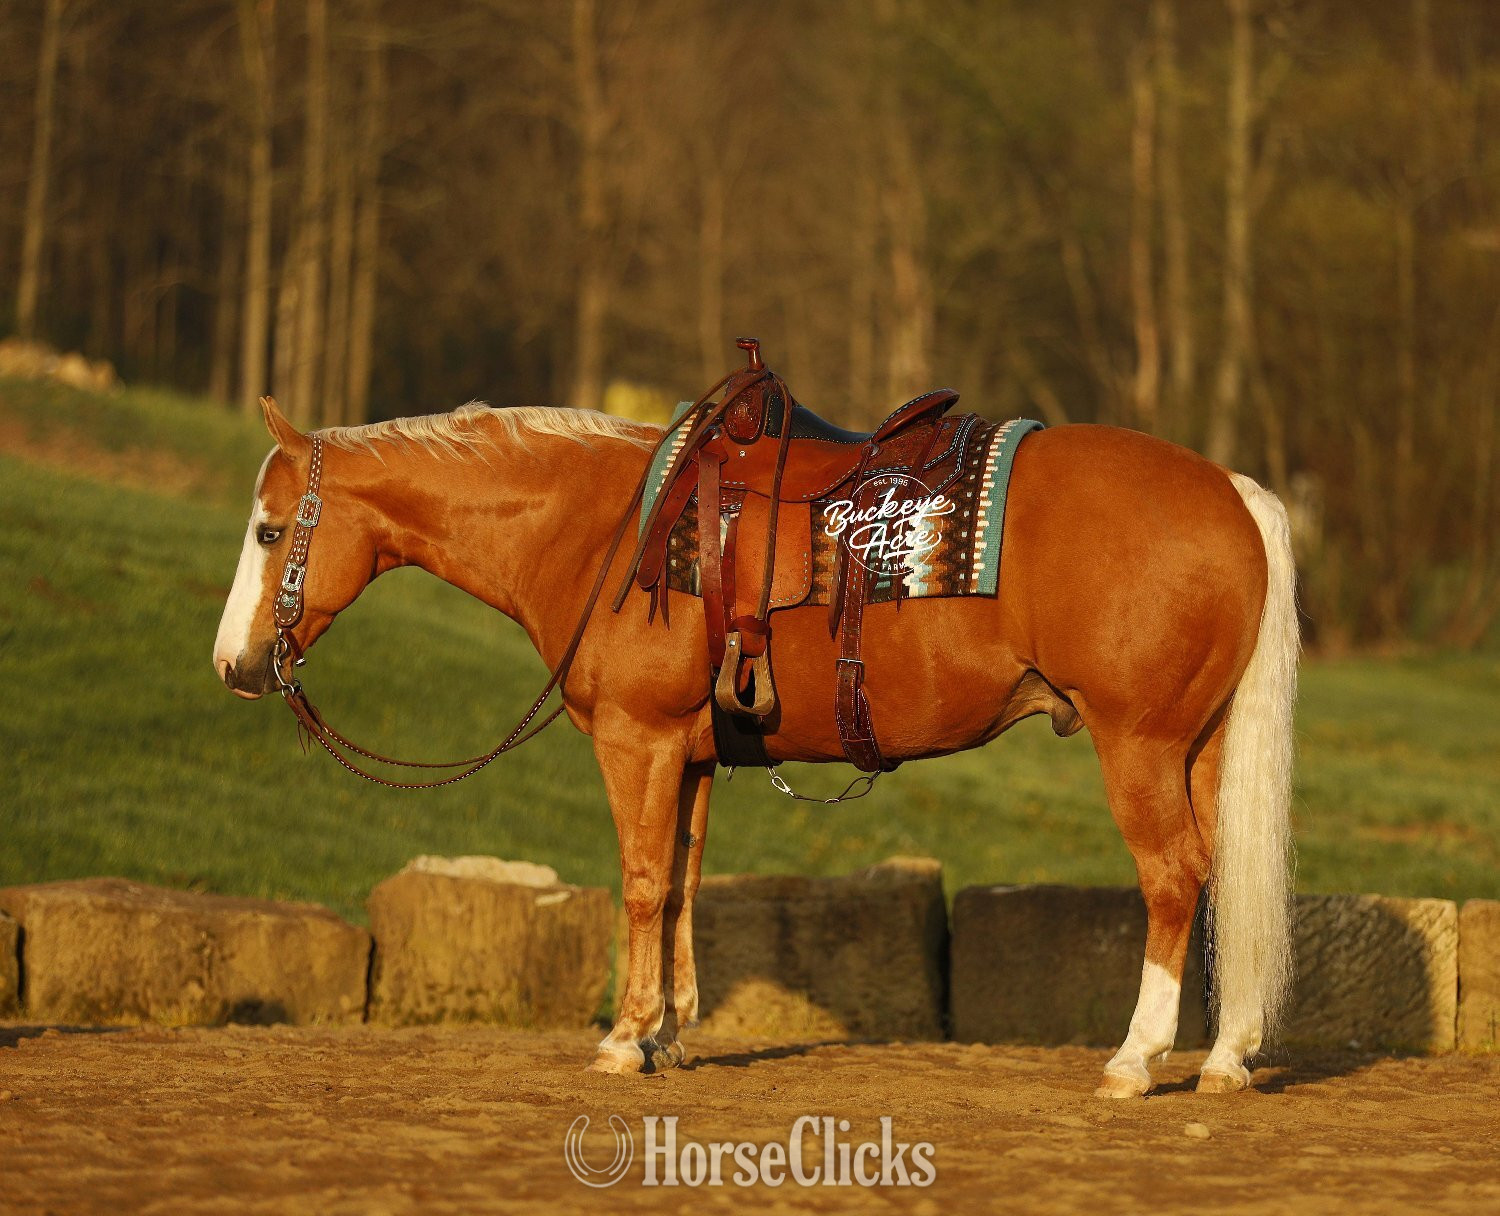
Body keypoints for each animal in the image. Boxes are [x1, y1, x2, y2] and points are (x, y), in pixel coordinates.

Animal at [213, 393, 1297, 1097]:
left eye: (269, 531)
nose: (235, 665)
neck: (606, 528)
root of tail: (1232, 492)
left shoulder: (638, 742)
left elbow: (641, 881)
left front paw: (624, 1039)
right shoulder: (690, 756)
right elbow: (682, 885)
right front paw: (670, 1035)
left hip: (1138, 744)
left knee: (1171, 876)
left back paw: (1135, 1060)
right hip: (1196, 746)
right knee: (1219, 874)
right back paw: (1225, 1056)